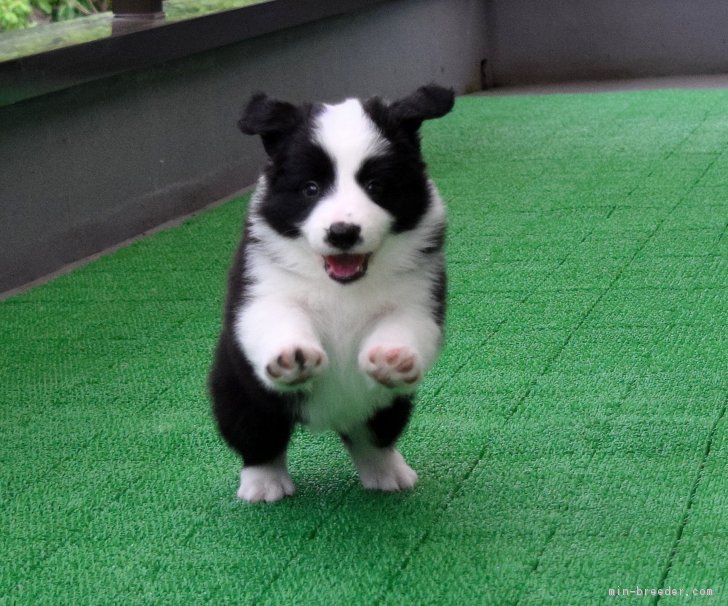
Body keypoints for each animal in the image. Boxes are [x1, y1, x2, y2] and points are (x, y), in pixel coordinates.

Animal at [208, 84, 452, 504]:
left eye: (376, 186)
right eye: (311, 188)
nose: (342, 232)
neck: (342, 286)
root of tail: (329, 419)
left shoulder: (419, 296)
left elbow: (404, 324)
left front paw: (392, 358)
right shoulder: (263, 289)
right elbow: (277, 318)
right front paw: (291, 356)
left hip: (387, 408)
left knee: (372, 440)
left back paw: (388, 473)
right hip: (238, 393)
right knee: (259, 441)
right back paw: (264, 485)